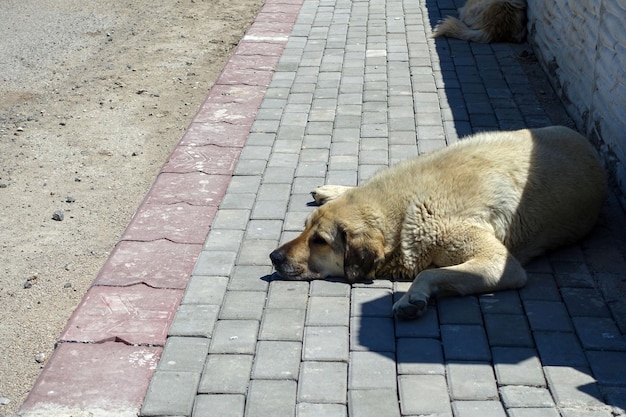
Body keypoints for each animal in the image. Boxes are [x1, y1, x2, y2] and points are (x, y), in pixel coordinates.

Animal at [268, 126, 604, 318]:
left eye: (320, 241)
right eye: (305, 230)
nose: (274, 257)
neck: (401, 208)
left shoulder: (498, 262)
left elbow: (429, 273)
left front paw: (413, 297)